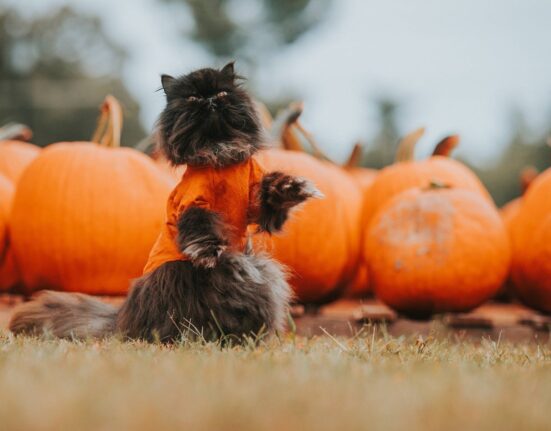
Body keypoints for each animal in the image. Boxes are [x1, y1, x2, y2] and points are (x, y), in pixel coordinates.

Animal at [9, 61, 324, 344]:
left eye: (222, 93)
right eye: (193, 98)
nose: (210, 100)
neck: (218, 153)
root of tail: (123, 319)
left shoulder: (257, 204)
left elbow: (274, 197)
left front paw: (294, 187)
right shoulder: (194, 204)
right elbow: (200, 229)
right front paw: (209, 253)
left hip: (262, 272)